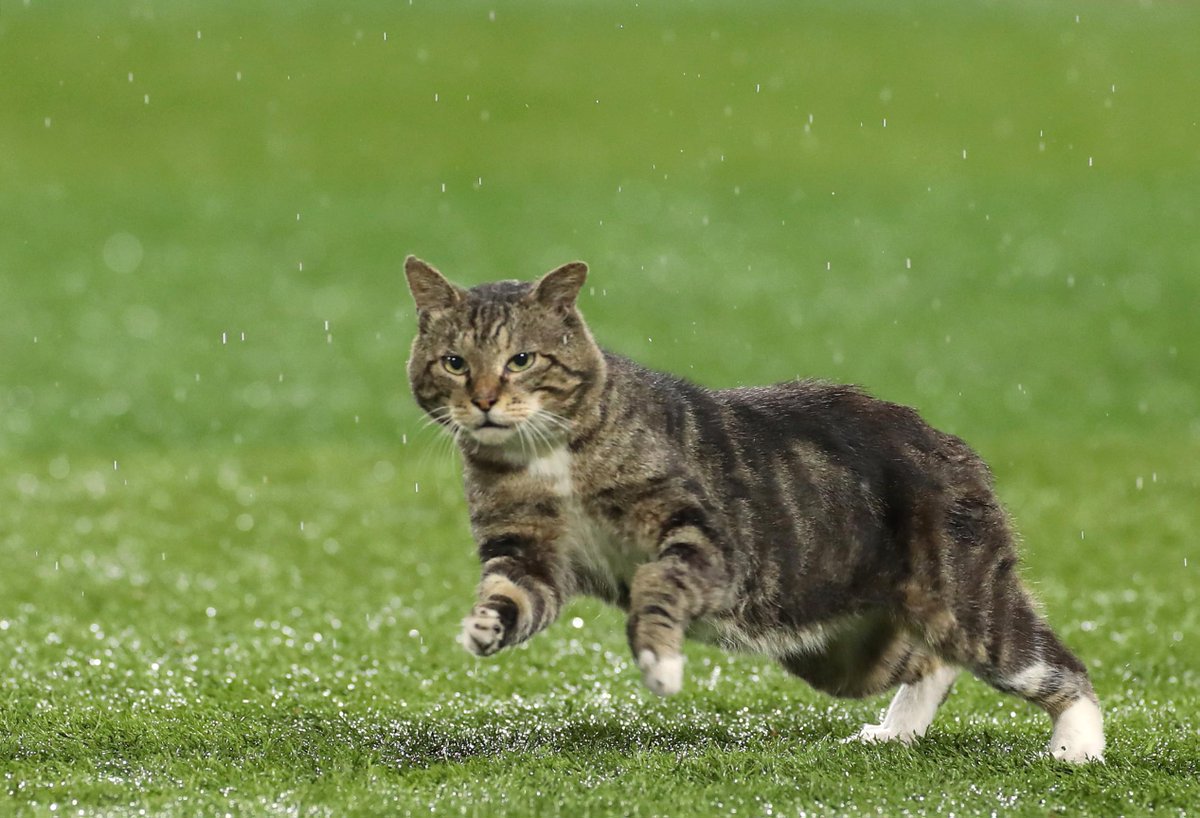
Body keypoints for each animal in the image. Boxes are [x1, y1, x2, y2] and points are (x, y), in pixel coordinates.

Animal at [403, 253, 1104, 758]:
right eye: (454, 363)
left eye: (521, 360)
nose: (484, 401)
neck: (547, 458)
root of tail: (951, 442)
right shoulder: (530, 556)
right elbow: (510, 594)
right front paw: (483, 627)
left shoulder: (708, 542)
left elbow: (656, 584)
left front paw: (659, 661)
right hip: (838, 647)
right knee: (931, 662)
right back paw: (893, 734)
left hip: (965, 599)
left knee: (1052, 665)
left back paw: (1077, 748)